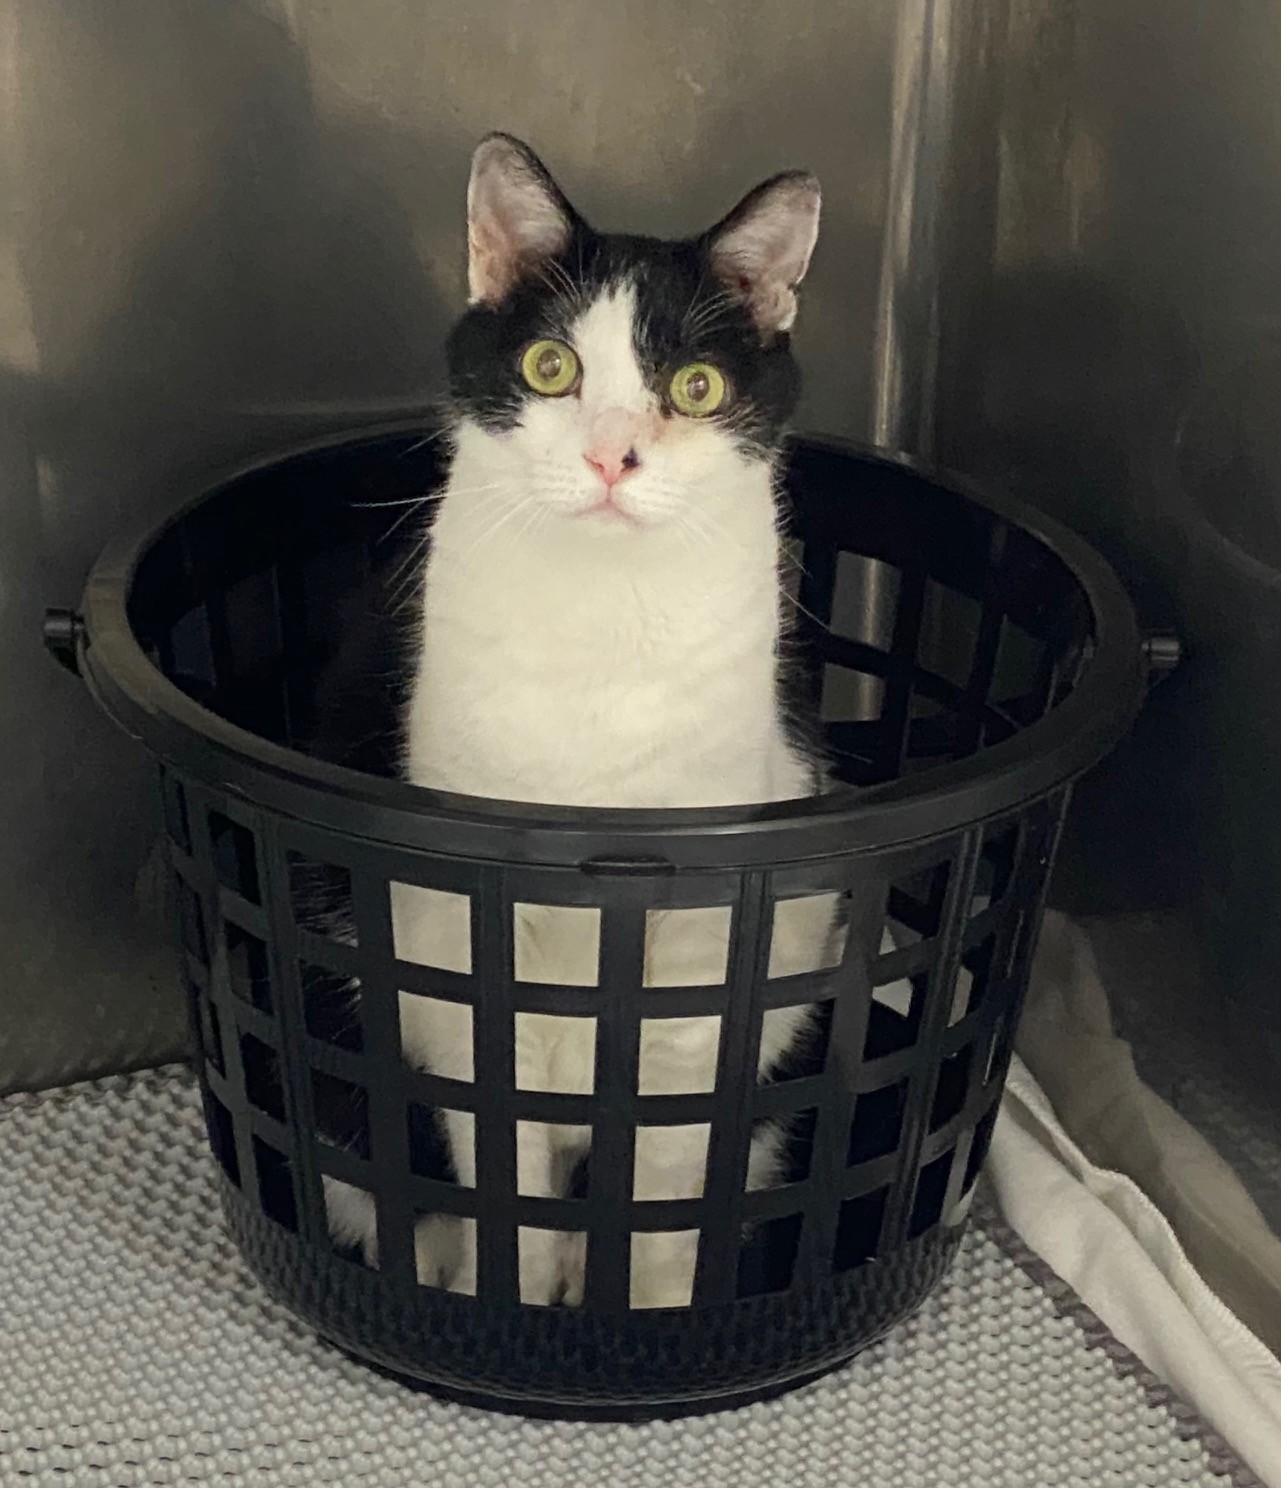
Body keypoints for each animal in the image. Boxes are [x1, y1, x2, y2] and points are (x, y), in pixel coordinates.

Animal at [318, 134, 832, 1310]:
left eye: (696, 387)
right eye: (551, 368)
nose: (610, 457)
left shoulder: (706, 944)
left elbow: (665, 1172)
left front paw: (649, 1314)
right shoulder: (466, 930)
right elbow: (507, 1146)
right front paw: (511, 1296)